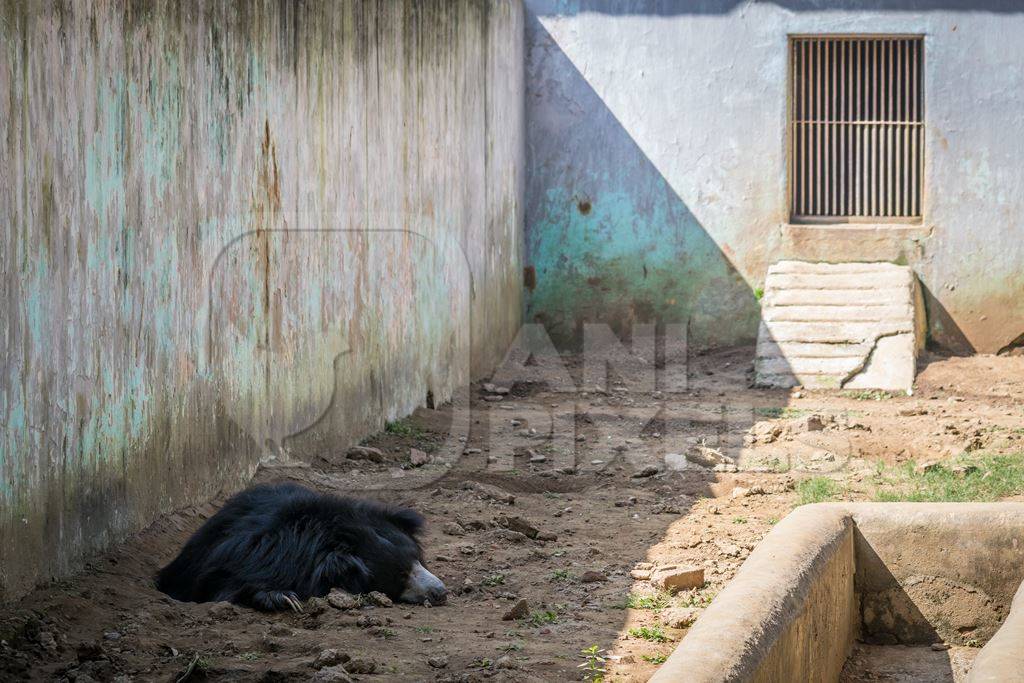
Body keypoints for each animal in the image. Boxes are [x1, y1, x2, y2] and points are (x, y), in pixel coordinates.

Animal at [156, 483, 448, 610]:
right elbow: (222, 584)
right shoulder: (251, 554)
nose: (441, 592)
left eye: (418, 559)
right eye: (400, 575)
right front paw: (285, 598)